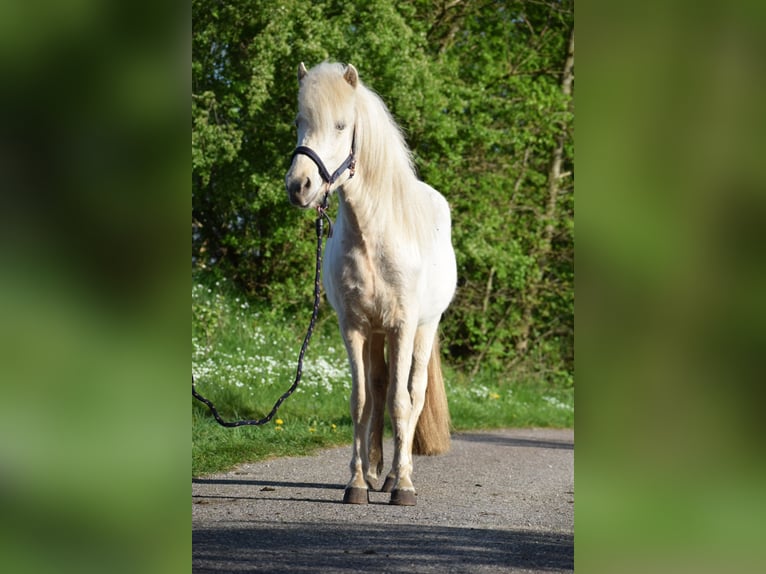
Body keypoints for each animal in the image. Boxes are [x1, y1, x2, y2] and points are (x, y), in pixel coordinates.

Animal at [286, 60, 456, 506]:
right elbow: (361, 401)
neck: (373, 236)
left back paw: (399, 476)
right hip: (379, 335)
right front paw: (358, 482)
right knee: (378, 390)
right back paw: (381, 471)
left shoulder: (402, 326)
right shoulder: (355, 327)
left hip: (422, 329)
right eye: (299, 122)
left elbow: (401, 402)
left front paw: (404, 486)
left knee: (413, 394)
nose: (299, 186)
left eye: (342, 125)